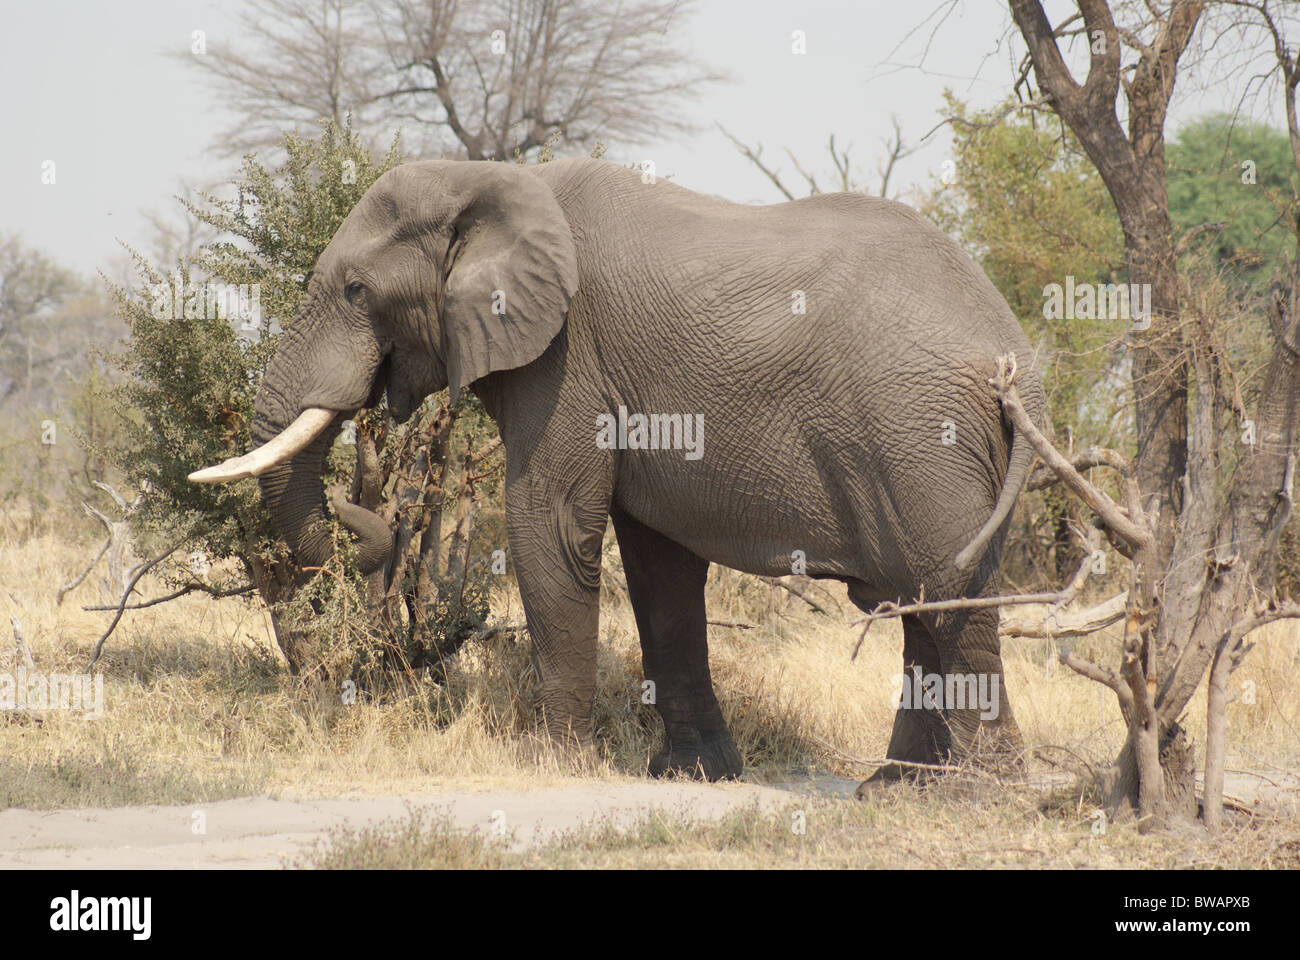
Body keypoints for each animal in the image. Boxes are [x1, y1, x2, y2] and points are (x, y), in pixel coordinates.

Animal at [189, 158, 1045, 785]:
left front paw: (551, 764)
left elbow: (553, 526)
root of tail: (1014, 356)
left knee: (946, 592)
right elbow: (659, 568)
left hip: (921, 436)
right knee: (928, 599)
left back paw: (975, 794)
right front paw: (693, 776)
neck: (489, 178)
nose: (356, 507)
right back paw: (898, 788)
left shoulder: (568, 360)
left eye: (357, 291)